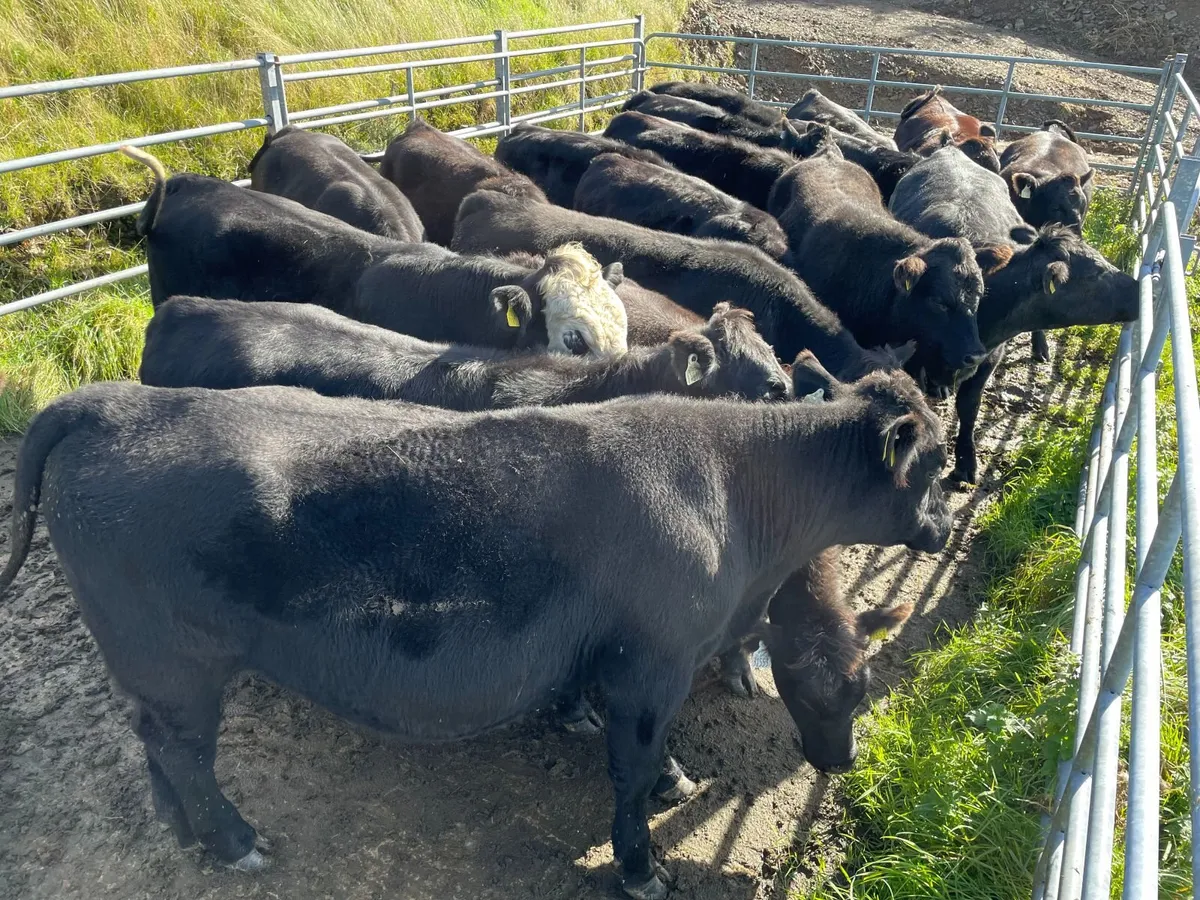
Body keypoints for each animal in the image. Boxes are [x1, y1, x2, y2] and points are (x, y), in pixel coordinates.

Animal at [1, 360, 951, 898]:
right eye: (937, 462)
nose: (945, 526)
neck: (734, 489)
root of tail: (114, 403)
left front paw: (661, 773)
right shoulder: (652, 662)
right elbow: (631, 767)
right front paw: (641, 865)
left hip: (152, 671)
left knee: (159, 750)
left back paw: (184, 833)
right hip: (176, 662)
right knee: (185, 752)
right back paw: (234, 843)